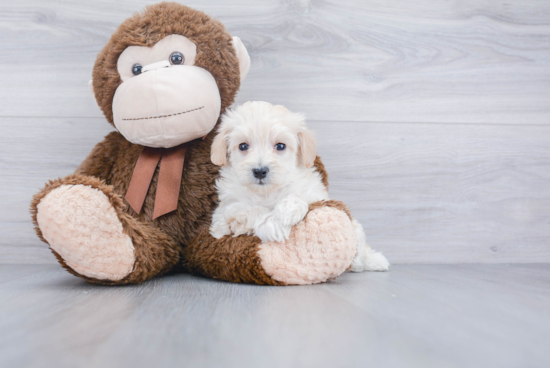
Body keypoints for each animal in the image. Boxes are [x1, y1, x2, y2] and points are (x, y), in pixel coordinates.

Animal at [209, 100, 390, 270]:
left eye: (280, 146)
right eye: (243, 146)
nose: (260, 171)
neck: (266, 192)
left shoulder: (315, 193)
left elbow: (300, 196)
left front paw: (287, 210)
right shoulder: (223, 216)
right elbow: (250, 209)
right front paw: (273, 224)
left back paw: (369, 260)